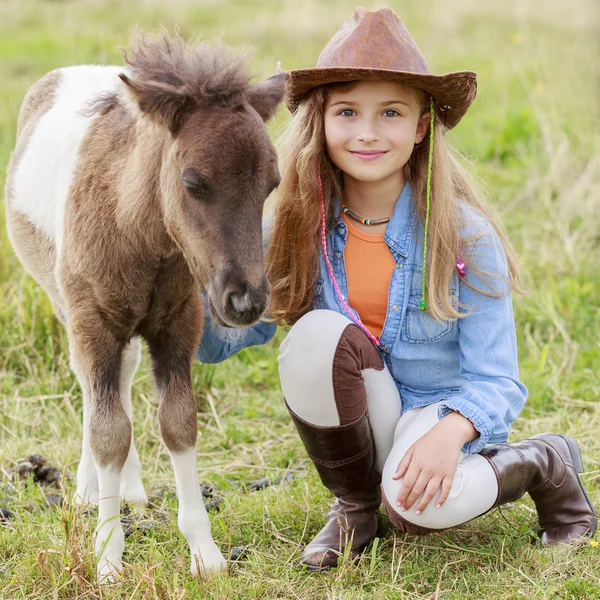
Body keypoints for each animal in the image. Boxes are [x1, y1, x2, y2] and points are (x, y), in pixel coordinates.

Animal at [4, 30, 290, 580]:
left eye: (272, 184)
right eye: (193, 182)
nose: (246, 301)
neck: (138, 233)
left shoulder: (180, 321)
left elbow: (178, 423)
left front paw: (204, 553)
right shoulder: (92, 322)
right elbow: (108, 431)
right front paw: (108, 558)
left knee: (122, 374)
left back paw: (129, 490)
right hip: (65, 303)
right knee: (93, 390)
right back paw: (89, 491)